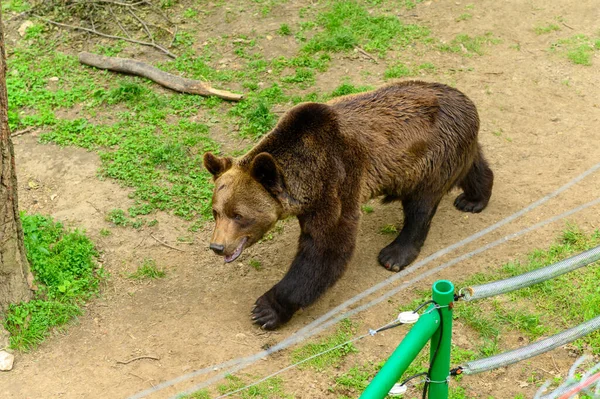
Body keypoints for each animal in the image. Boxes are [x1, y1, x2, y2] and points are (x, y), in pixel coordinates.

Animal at [204, 79, 494, 330]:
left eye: (239, 215)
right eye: (216, 212)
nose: (217, 246)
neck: (304, 179)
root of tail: (467, 102)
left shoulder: (335, 180)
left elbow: (326, 248)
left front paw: (266, 310)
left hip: (431, 157)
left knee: (420, 207)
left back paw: (394, 255)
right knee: (473, 164)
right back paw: (474, 199)